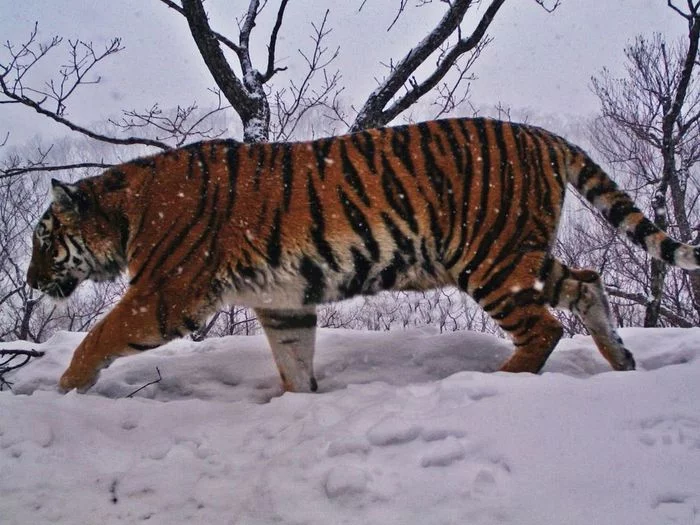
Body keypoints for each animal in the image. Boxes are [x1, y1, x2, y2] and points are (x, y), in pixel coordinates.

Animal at [26, 116, 700, 390]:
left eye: (44, 241)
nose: (31, 281)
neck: (125, 214)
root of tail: (542, 134)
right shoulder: (283, 302)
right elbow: (294, 362)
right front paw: (299, 404)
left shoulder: (163, 294)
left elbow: (97, 337)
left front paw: (64, 390)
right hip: (522, 253)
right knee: (586, 282)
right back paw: (622, 362)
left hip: (491, 260)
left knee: (544, 329)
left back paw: (497, 380)